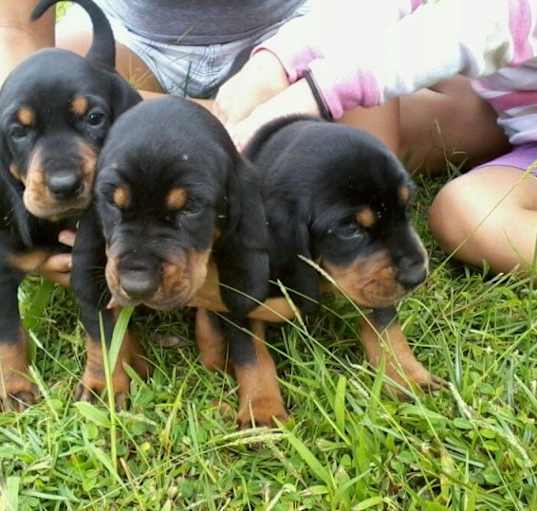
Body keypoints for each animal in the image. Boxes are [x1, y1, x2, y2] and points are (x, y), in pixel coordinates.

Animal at [0, 0, 140, 410]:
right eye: (18, 132)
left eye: (94, 118)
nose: (64, 185)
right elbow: (7, 337)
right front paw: (15, 390)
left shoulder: (91, 273)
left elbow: (102, 336)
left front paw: (101, 387)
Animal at [72, 98, 268, 406]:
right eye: (113, 203)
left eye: (191, 208)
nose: (136, 286)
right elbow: (103, 335)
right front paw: (101, 387)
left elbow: (228, 332)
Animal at [195, 118, 442, 426]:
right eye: (350, 229)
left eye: (406, 207)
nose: (416, 276)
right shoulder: (241, 297)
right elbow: (252, 355)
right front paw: (263, 411)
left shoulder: (374, 286)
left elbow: (387, 330)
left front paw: (408, 376)